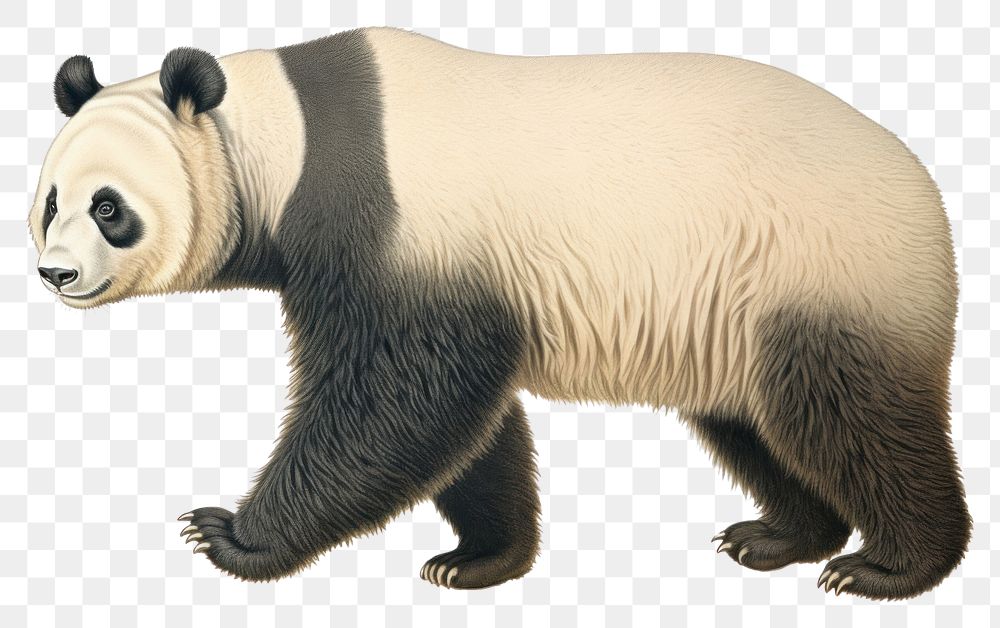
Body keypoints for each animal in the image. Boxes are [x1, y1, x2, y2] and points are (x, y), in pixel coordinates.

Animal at [30, 27, 970, 600]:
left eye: (109, 207)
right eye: (49, 202)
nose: (55, 274)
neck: (283, 134)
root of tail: (927, 192)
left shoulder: (389, 222)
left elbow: (397, 399)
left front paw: (231, 534)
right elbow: (467, 422)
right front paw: (479, 560)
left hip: (814, 262)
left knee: (851, 415)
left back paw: (888, 566)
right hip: (733, 311)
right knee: (758, 424)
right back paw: (779, 537)